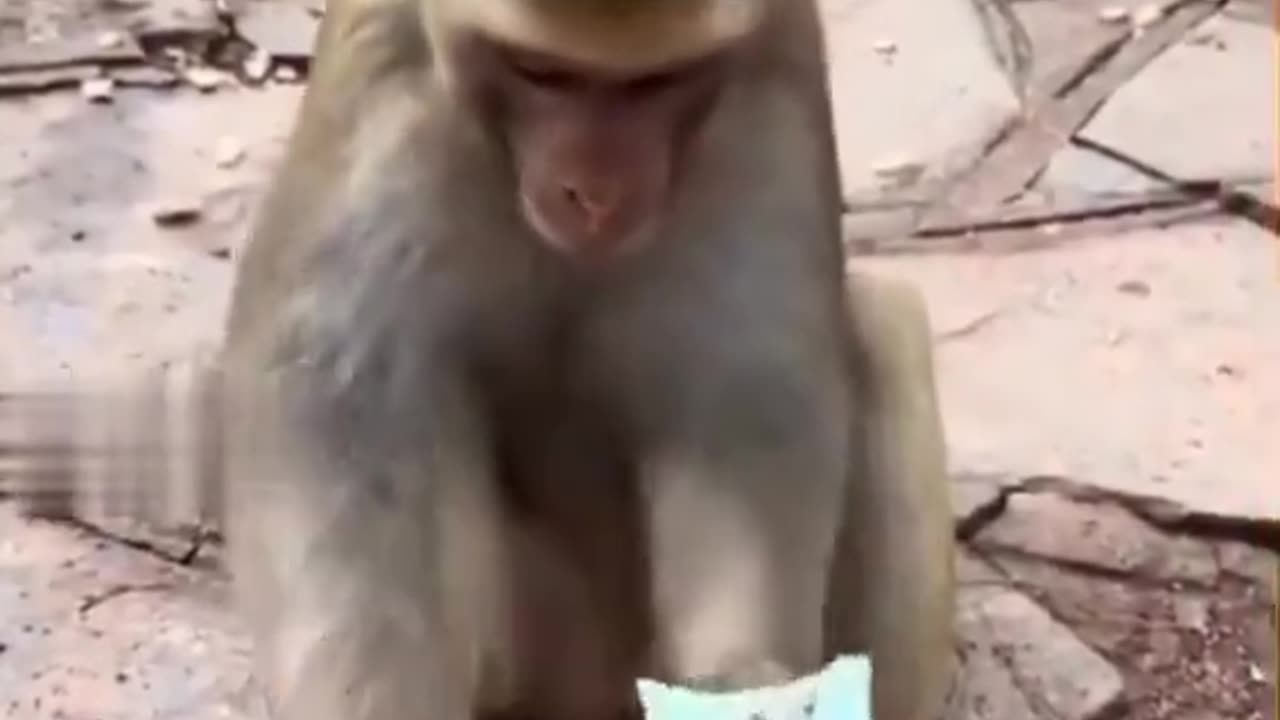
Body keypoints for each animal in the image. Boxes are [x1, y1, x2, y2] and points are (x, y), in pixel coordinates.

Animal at [0, 0, 957, 718]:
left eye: (655, 83)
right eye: (540, 74)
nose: (594, 191)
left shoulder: (764, 89)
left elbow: (740, 412)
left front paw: (744, 679)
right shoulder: (393, 90)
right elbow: (345, 424)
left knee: (884, 328)